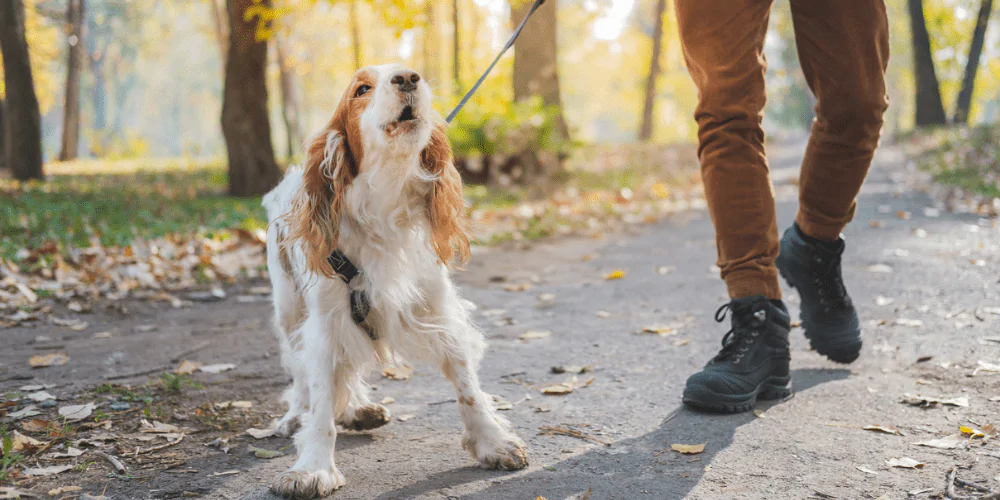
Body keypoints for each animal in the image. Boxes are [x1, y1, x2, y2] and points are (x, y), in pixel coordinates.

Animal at [262, 64, 532, 498]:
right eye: (361, 89)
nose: (408, 78)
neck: (383, 205)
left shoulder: (438, 309)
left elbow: (468, 387)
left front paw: (492, 441)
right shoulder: (326, 323)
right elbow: (320, 400)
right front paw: (313, 468)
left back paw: (358, 409)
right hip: (289, 309)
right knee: (301, 372)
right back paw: (295, 416)